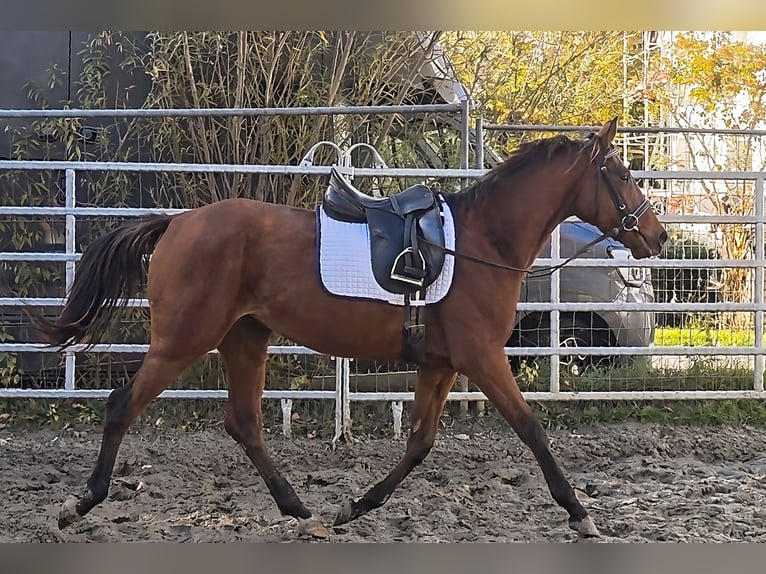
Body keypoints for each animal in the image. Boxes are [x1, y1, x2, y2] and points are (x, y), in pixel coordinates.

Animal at [31, 117, 667, 539]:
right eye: (620, 173)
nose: (656, 237)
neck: (483, 242)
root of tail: (178, 224)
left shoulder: (441, 365)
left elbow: (419, 443)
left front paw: (356, 506)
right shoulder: (483, 358)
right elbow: (532, 429)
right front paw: (580, 513)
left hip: (246, 338)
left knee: (244, 423)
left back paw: (298, 508)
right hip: (183, 341)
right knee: (122, 405)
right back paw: (79, 504)